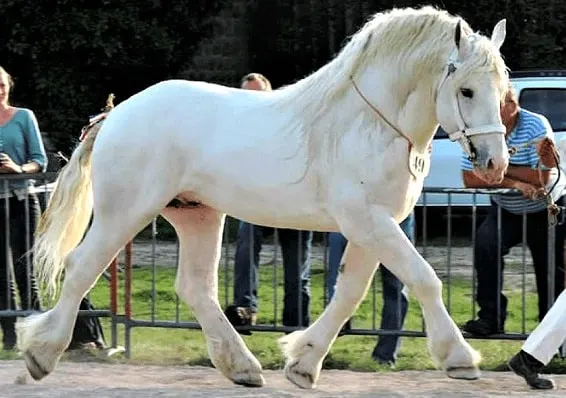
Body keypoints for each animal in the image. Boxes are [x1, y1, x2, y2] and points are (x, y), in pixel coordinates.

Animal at [20, 6, 512, 390]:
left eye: (503, 92)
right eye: (466, 90)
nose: (495, 163)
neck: (367, 123)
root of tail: (117, 113)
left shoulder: (373, 225)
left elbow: (349, 293)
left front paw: (303, 363)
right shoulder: (367, 220)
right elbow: (425, 278)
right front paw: (458, 359)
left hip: (197, 214)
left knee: (195, 286)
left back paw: (241, 367)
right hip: (124, 211)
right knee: (81, 266)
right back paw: (41, 354)